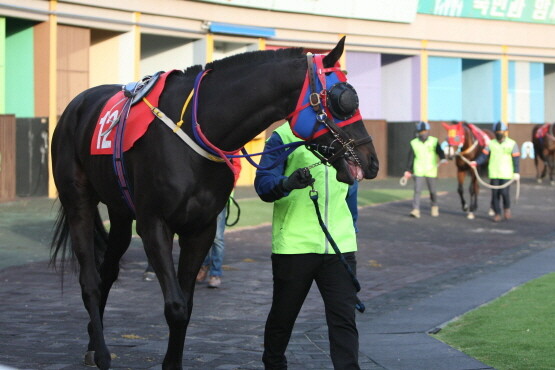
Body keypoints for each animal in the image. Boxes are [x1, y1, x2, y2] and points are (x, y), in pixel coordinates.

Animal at [50, 38, 380, 370]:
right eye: (345, 99)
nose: (371, 161)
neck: (195, 130)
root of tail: (76, 106)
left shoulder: (201, 229)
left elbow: (187, 306)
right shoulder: (154, 224)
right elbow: (176, 306)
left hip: (119, 212)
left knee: (107, 272)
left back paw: (93, 342)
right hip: (79, 201)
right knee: (90, 279)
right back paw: (102, 352)